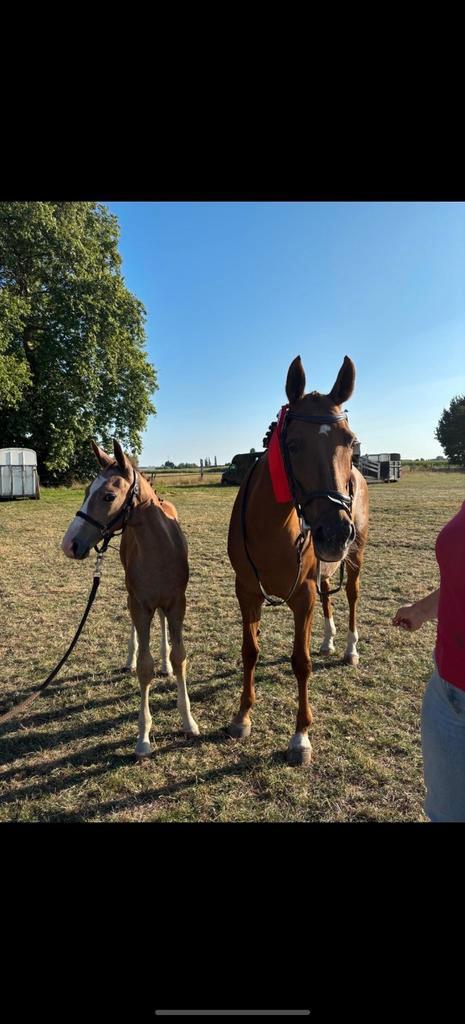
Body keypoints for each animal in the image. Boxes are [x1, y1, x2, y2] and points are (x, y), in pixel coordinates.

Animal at [61, 439, 199, 758]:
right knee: (137, 628)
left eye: (109, 495)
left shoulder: (177, 603)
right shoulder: (140, 603)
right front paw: (144, 738)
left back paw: (165, 665)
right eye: (85, 492)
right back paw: (130, 659)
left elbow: (180, 657)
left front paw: (188, 722)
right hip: (133, 599)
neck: (159, 548)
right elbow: (145, 667)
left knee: (161, 625)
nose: (69, 545)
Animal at [227, 355, 369, 766]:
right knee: (329, 594)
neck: (272, 527)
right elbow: (250, 651)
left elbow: (300, 663)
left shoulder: (301, 598)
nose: (334, 532)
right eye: (291, 445)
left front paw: (300, 736)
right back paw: (328, 640)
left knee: (351, 597)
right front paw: (242, 716)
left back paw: (349, 647)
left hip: (355, 558)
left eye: (350, 442)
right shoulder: (247, 592)